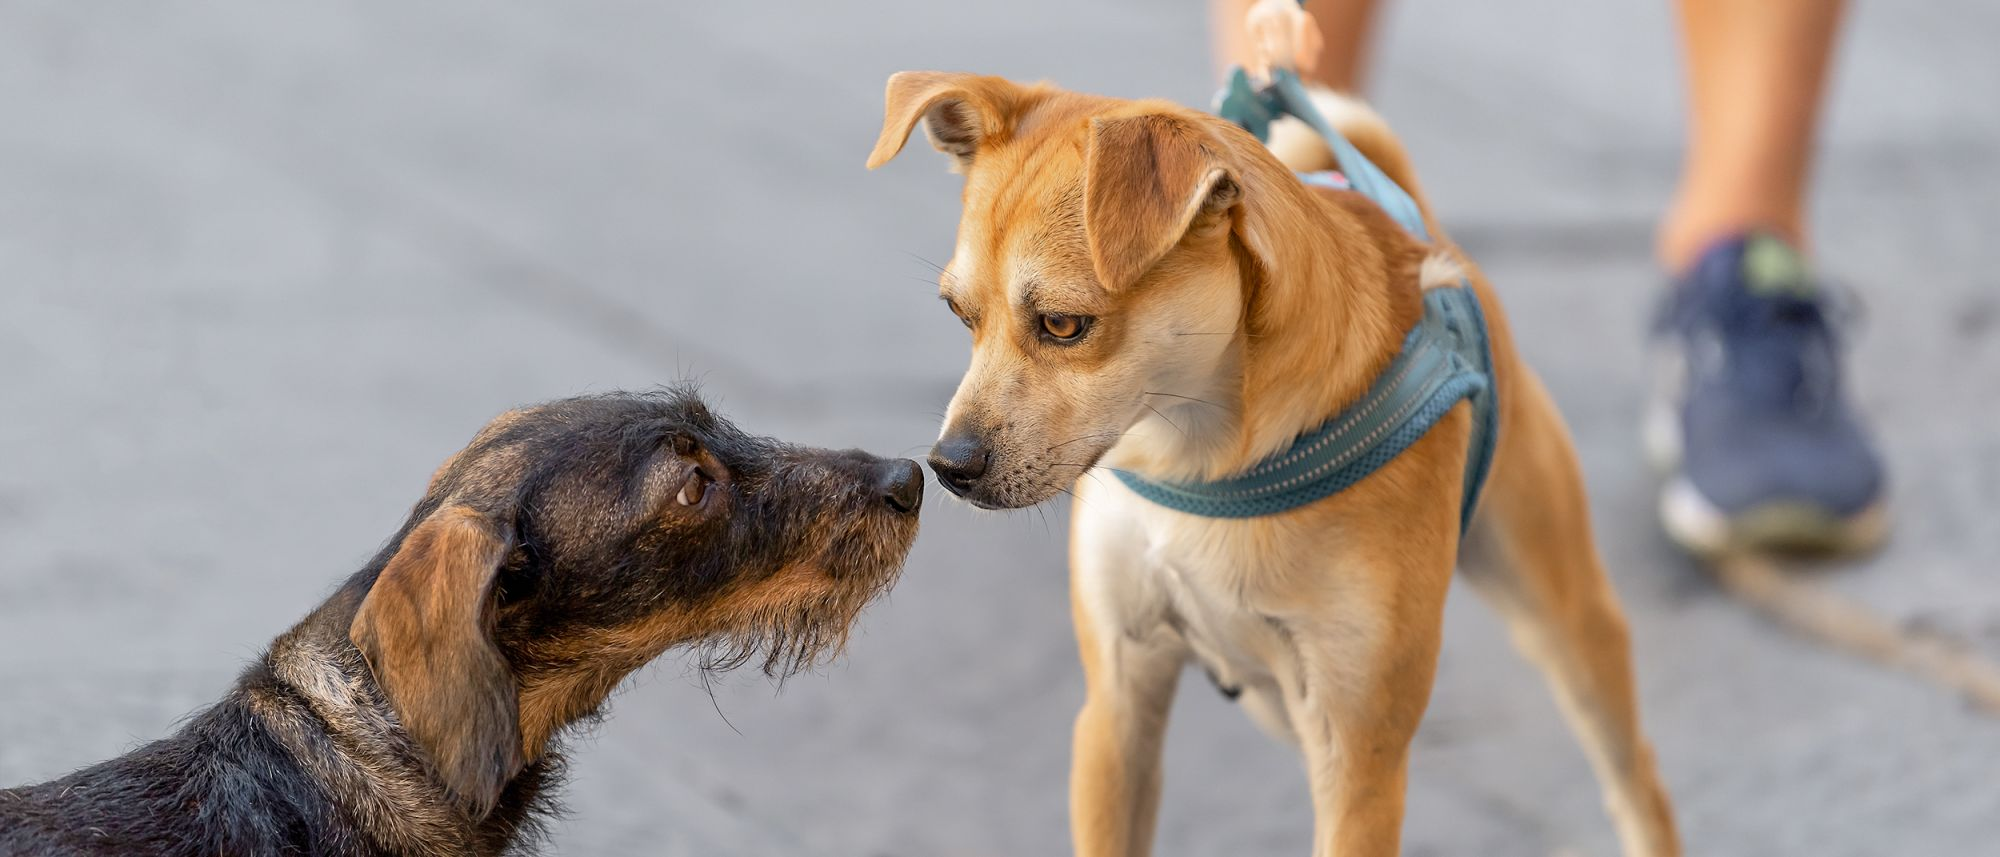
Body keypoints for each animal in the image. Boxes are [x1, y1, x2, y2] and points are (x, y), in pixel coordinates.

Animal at [868, 73, 1680, 857]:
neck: (1199, 453)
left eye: (1064, 325)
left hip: (1561, 619)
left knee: (1636, 778)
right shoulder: (1117, 711)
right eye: (960, 315)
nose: (947, 464)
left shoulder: (1358, 756)